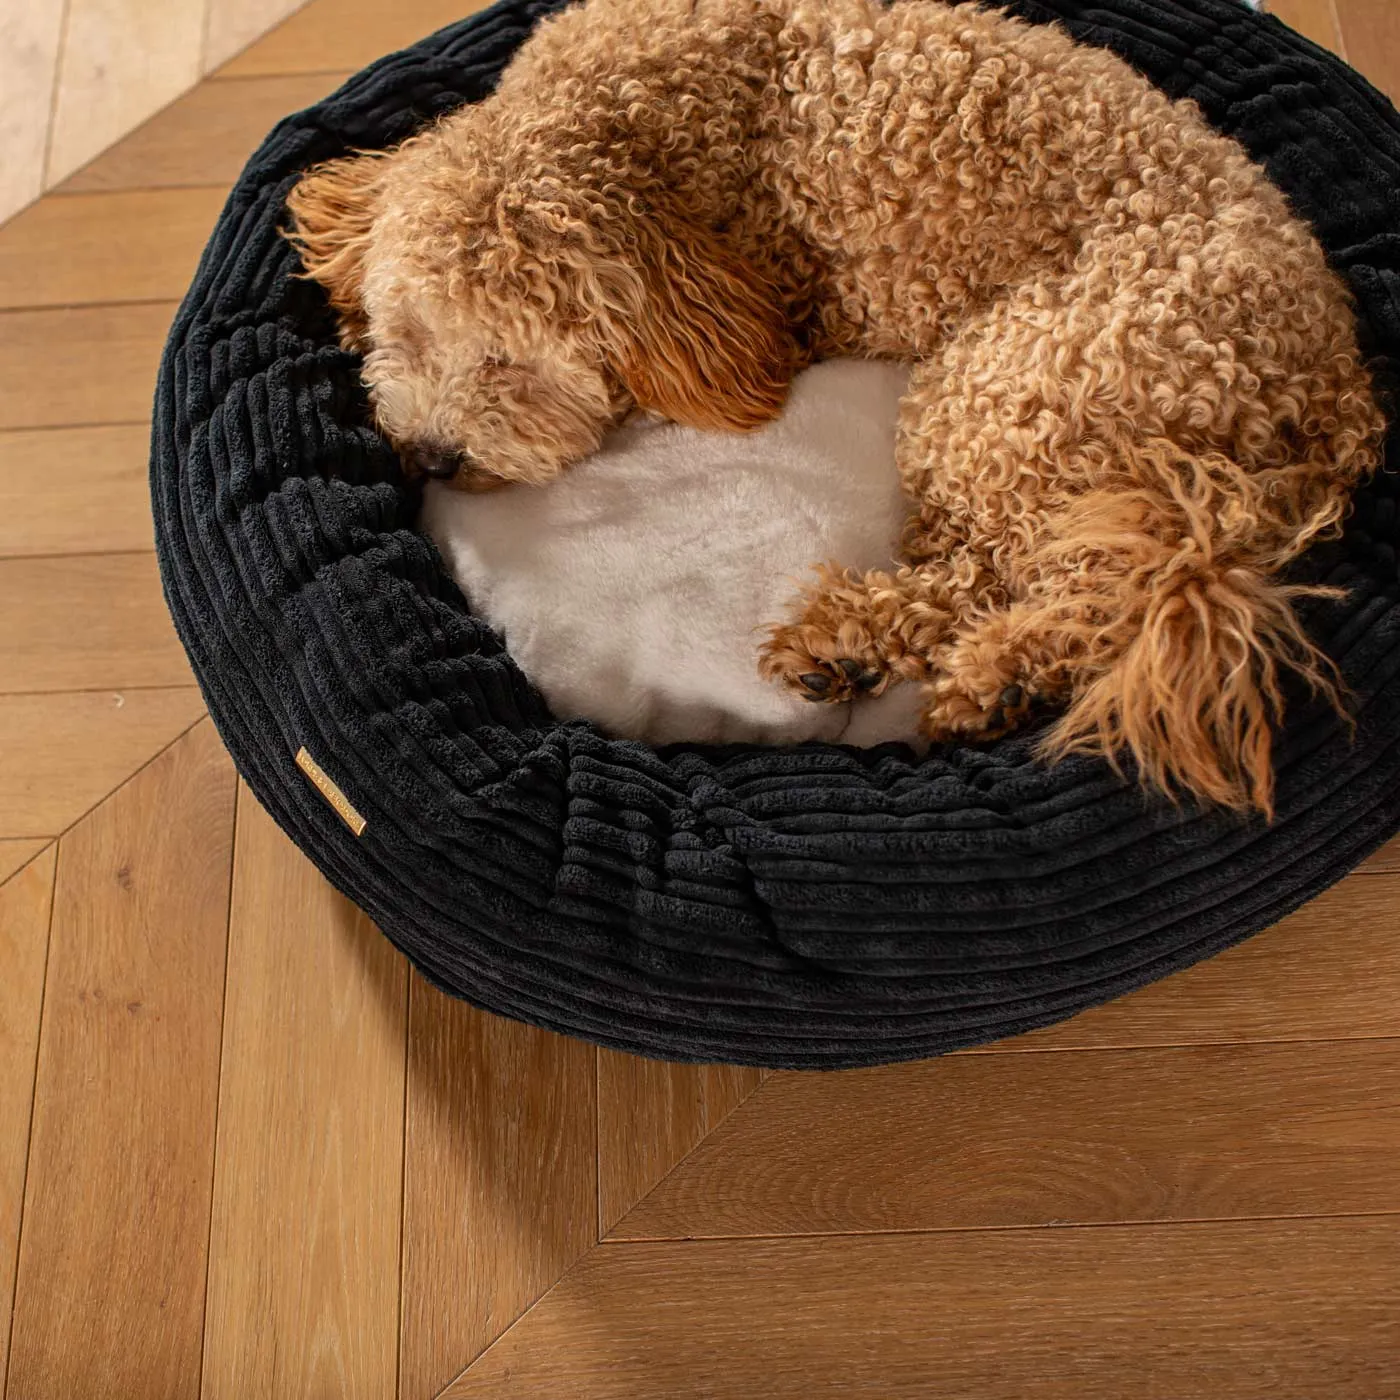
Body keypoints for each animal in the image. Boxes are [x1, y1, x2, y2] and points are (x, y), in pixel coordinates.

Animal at [287, 0, 1388, 812]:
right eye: (405, 331)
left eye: (513, 364)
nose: (432, 457)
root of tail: (1333, 385)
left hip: (1009, 387)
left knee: (1047, 578)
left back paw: (912, 656)